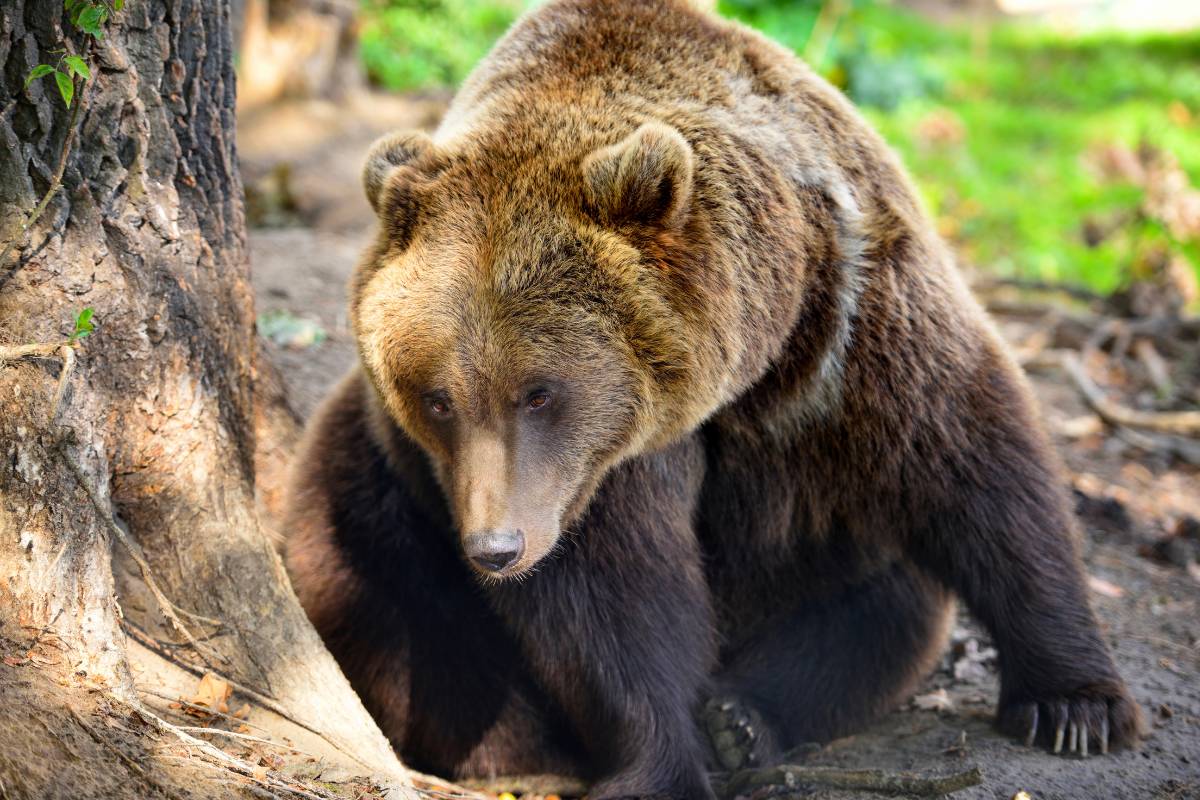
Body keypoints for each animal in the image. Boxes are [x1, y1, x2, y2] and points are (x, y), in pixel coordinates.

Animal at [283, 0, 1143, 797]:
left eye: (538, 392)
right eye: (437, 398)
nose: (496, 548)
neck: (747, 366)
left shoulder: (853, 321)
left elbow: (977, 457)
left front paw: (1077, 704)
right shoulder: (611, 461)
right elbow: (614, 603)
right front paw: (660, 761)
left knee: (883, 608)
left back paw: (746, 718)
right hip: (375, 485)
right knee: (383, 590)